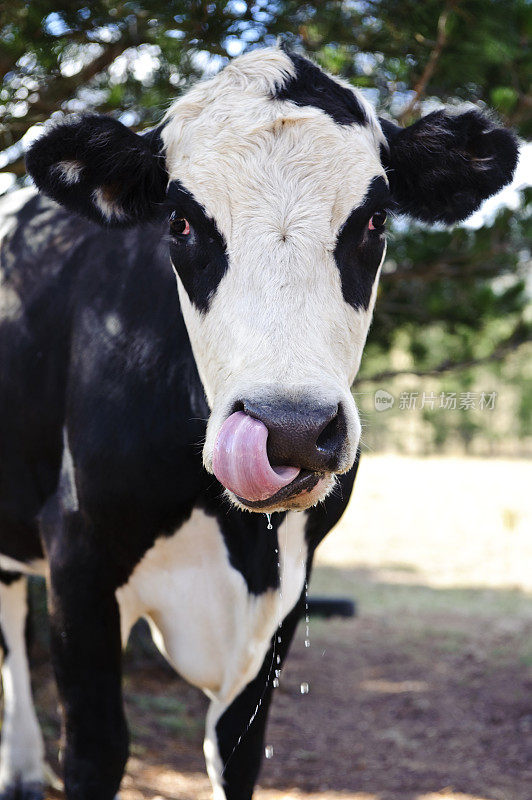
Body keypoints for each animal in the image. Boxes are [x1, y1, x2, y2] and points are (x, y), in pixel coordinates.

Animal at [0, 48, 516, 800]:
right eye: (181, 220)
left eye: (376, 220)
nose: (291, 428)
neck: (232, 533)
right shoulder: (78, 552)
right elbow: (97, 751)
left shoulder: (286, 589)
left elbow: (238, 753)